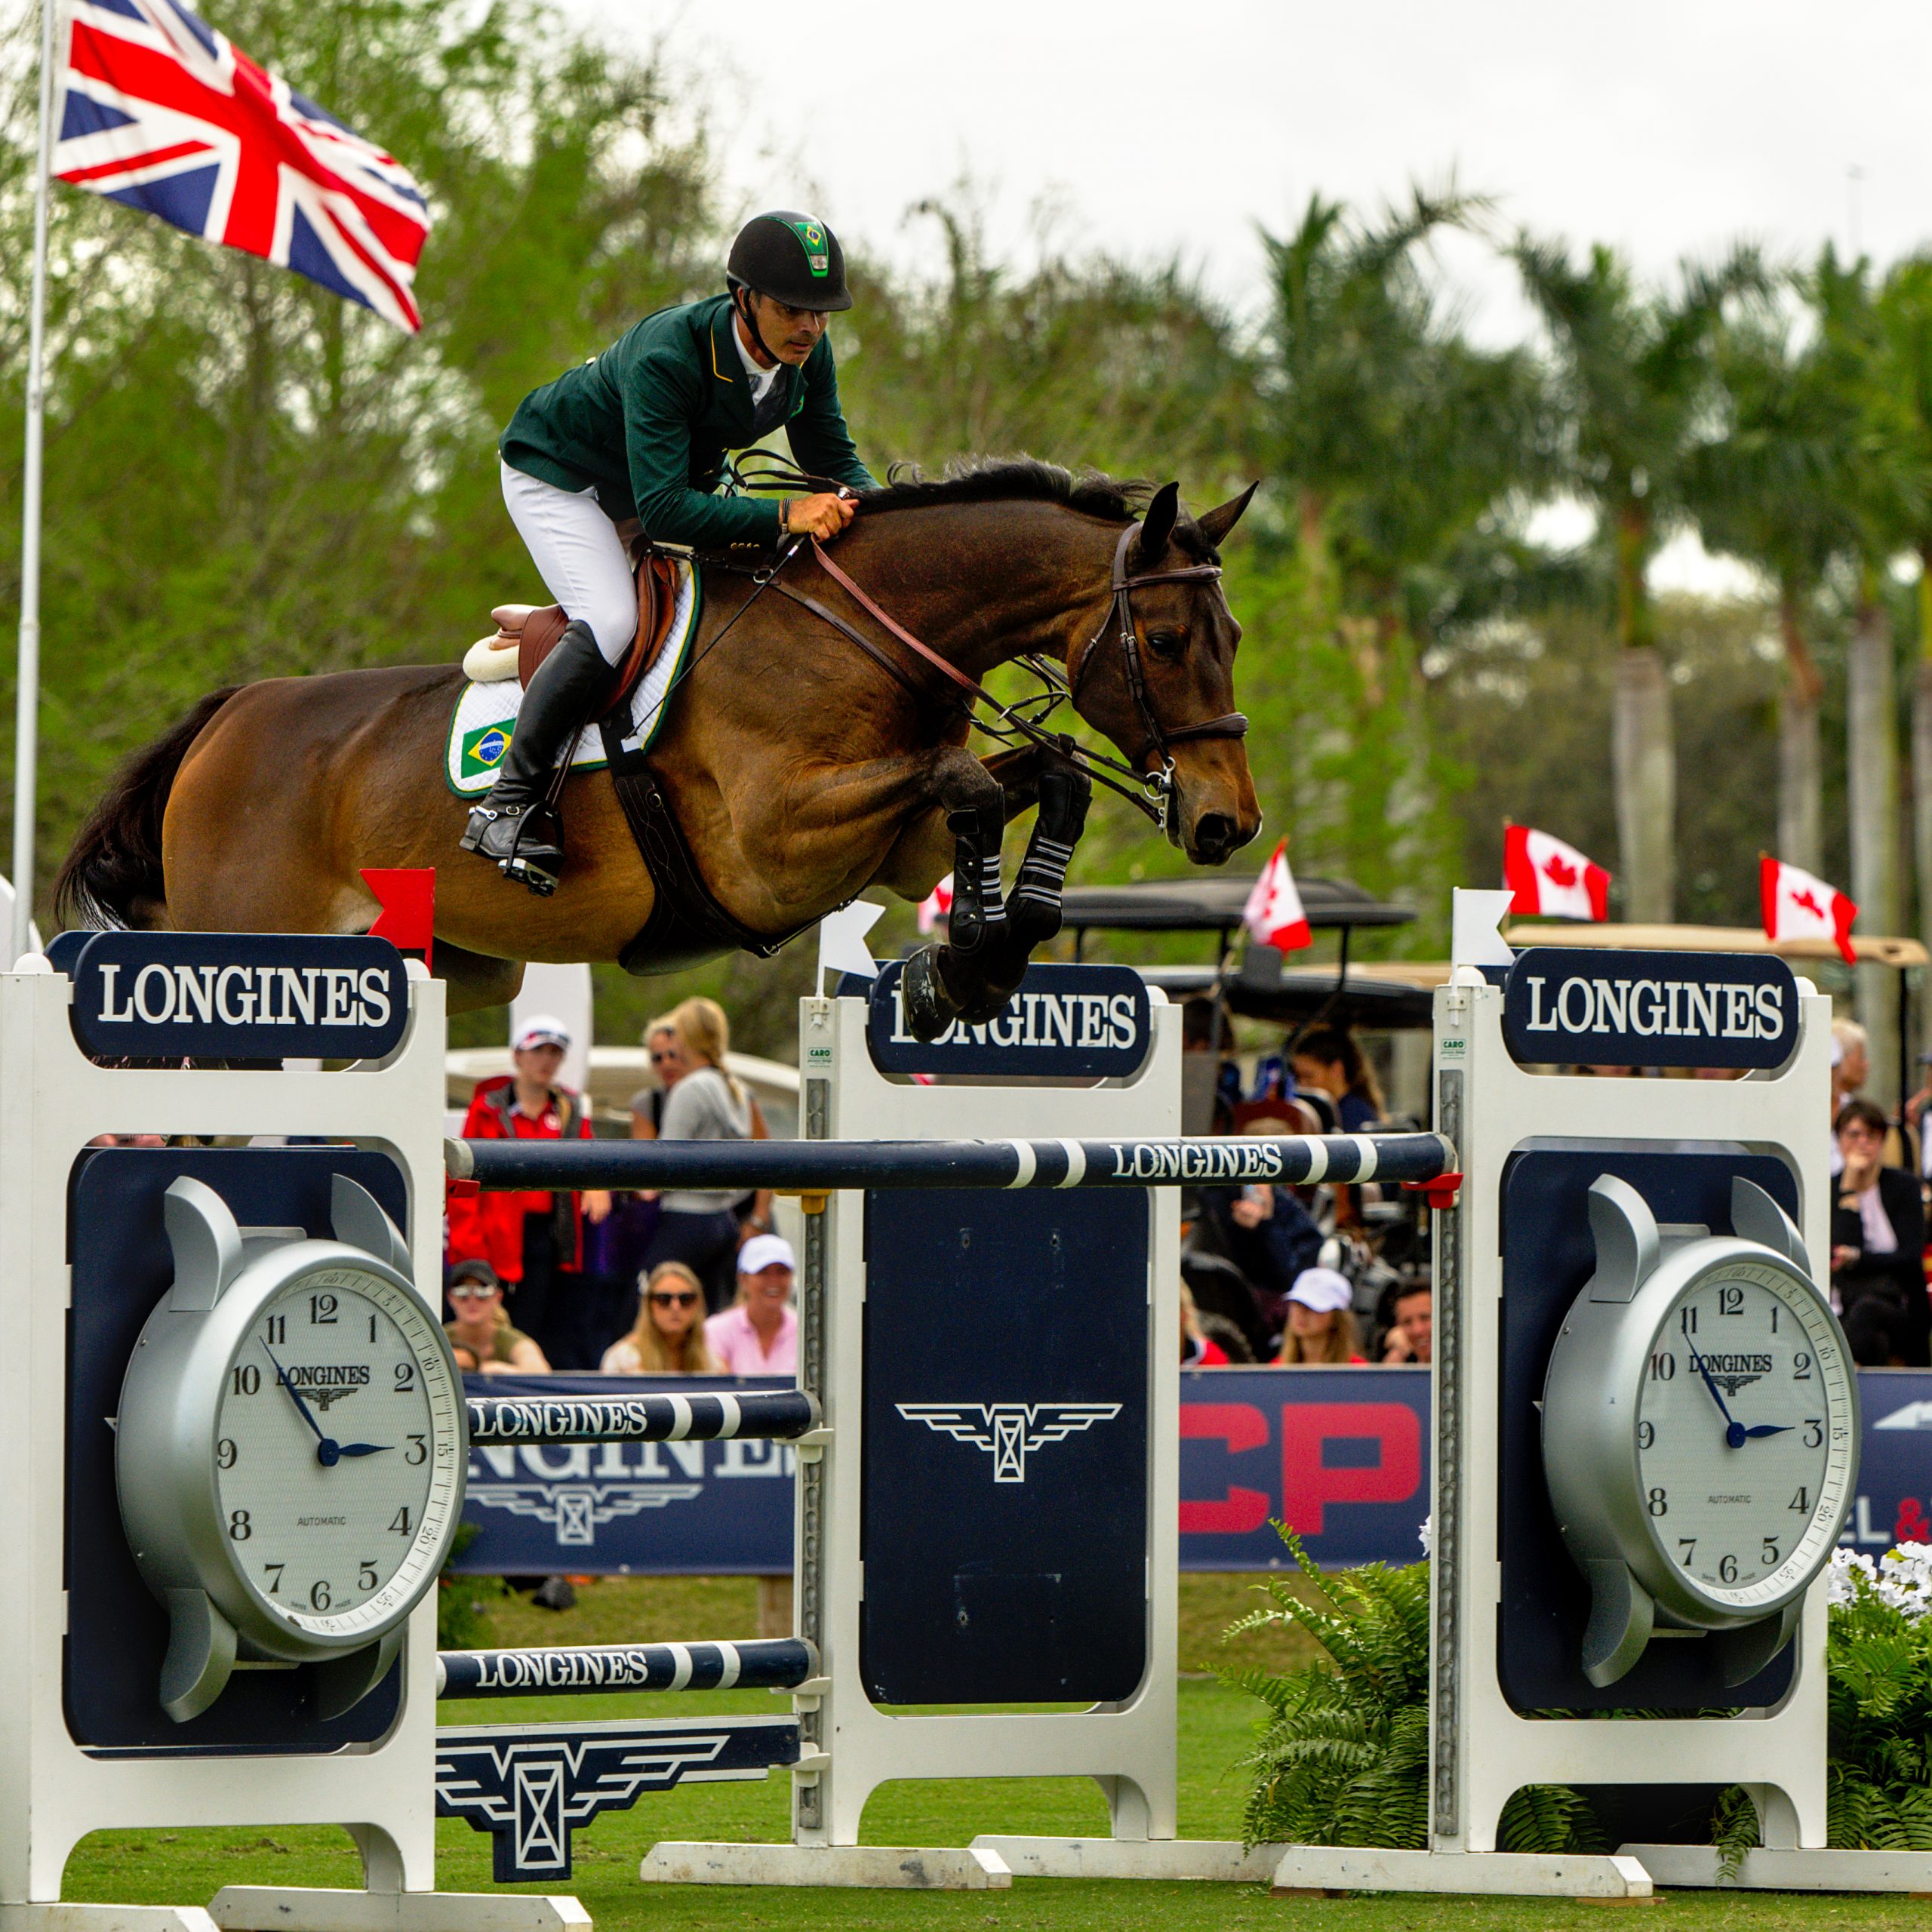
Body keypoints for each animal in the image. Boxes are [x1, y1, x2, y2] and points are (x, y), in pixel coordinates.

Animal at [53, 460, 1260, 1035]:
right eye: (1162, 640)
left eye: (1235, 639)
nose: (1226, 821)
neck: (861, 629)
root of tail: (227, 717)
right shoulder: (778, 847)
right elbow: (965, 783)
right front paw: (961, 965)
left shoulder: (895, 846)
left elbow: (1040, 780)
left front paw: (987, 956)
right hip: (243, 944)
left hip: (443, 969)